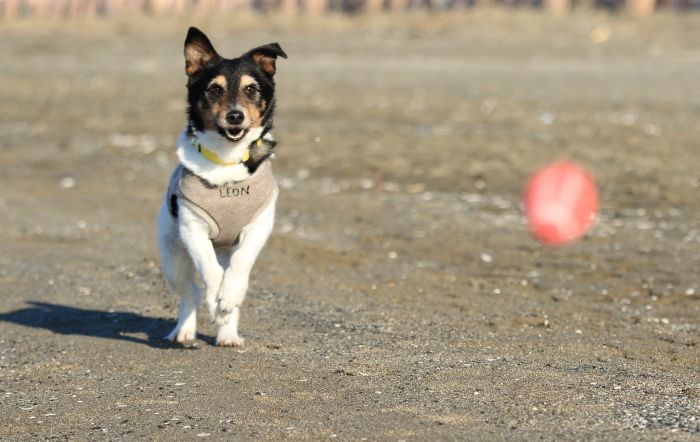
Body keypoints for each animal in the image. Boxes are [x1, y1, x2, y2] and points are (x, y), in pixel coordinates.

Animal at [158, 26, 288, 346]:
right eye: (214, 89)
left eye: (251, 89)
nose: (235, 116)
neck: (227, 162)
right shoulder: (193, 230)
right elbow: (210, 270)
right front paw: (217, 302)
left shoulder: (259, 226)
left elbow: (241, 263)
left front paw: (228, 298)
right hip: (173, 257)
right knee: (191, 292)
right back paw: (184, 330)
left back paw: (228, 333)